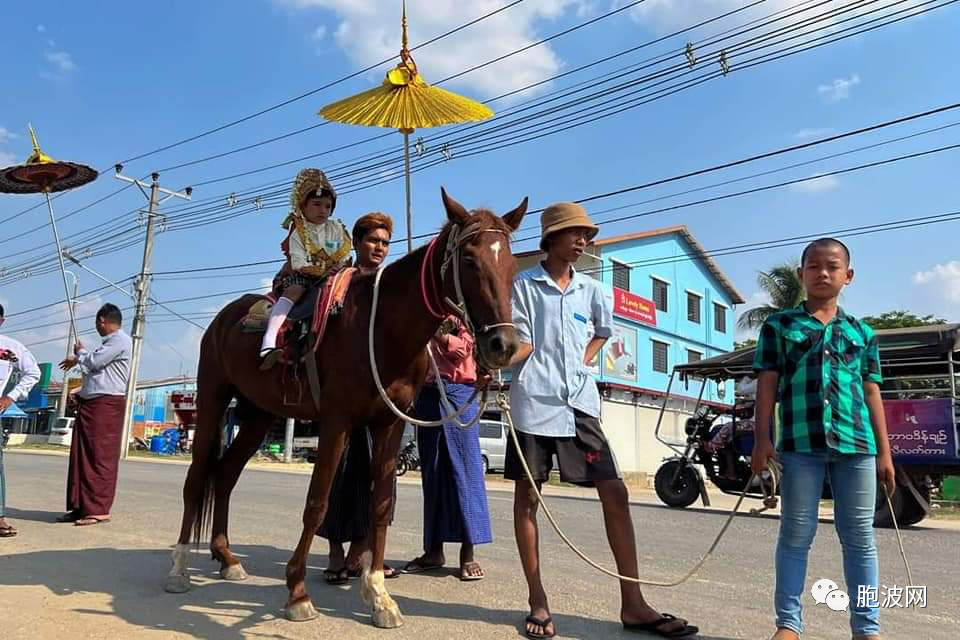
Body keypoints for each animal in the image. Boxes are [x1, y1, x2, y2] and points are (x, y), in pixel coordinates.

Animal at [165, 188, 524, 628]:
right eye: (470, 260)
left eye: (510, 264)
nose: (503, 346)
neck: (382, 327)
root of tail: (224, 319)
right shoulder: (336, 421)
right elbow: (317, 503)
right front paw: (297, 592)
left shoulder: (388, 423)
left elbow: (380, 505)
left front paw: (379, 596)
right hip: (213, 396)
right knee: (197, 479)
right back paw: (179, 568)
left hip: (259, 413)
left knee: (226, 474)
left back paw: (226, 556)